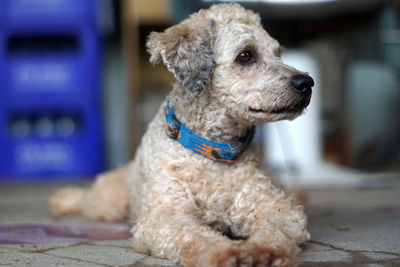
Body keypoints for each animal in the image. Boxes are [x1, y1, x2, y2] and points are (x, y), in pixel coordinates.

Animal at [49, 4, 312, 267]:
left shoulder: (275, 208)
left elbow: (276, 230)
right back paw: (64, 199)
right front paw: (227, 252)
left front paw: (266, 252)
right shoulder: (166, 215)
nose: (307, 83)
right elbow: (196, 236)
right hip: (110, 199)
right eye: (245, 55)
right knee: (90, 198)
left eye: (278, 53)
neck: (213, 151)